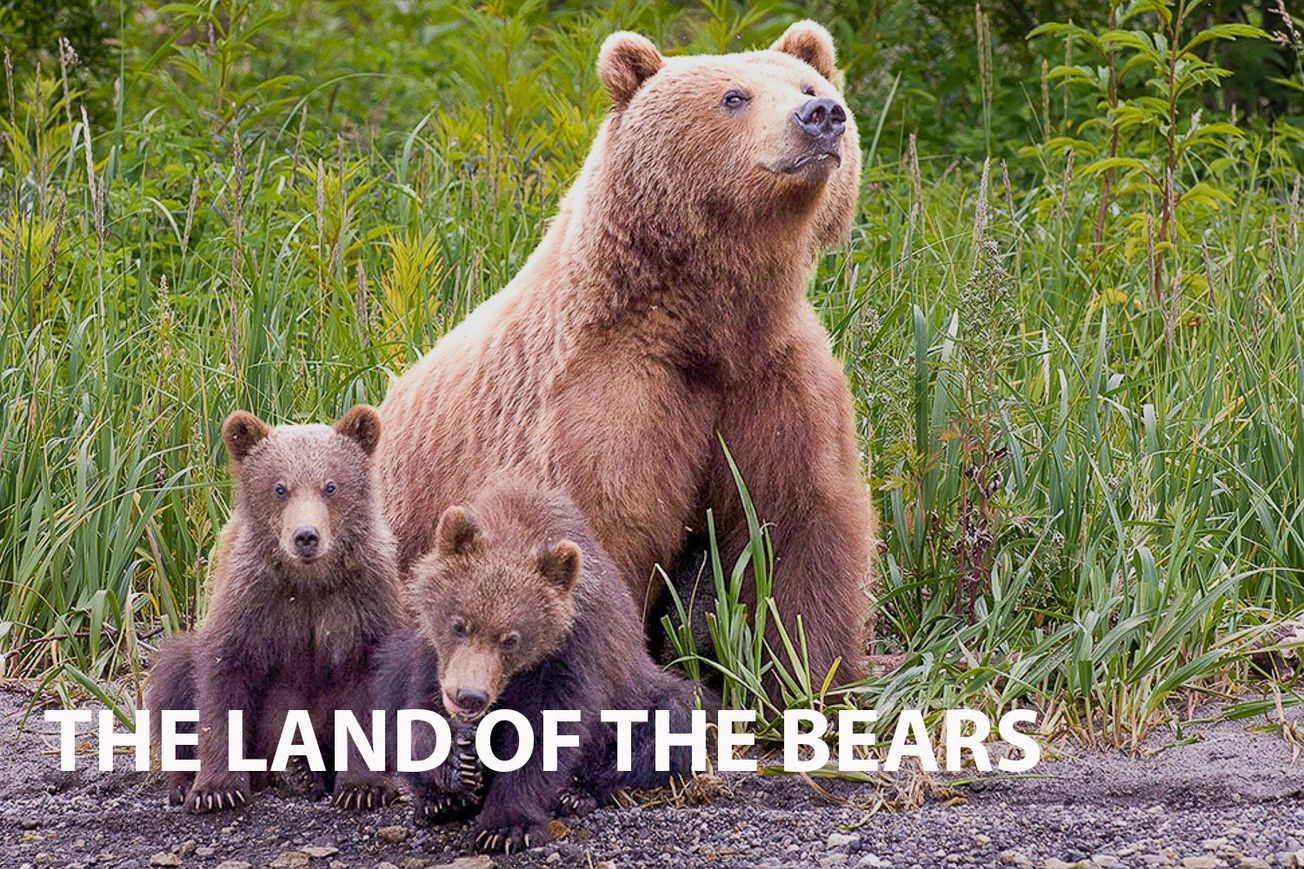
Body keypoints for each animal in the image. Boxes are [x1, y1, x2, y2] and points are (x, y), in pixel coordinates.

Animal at [144, 405, 403, 812]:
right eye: (280, 488)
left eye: (331, 486)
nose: (306, 536)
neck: (309, 583)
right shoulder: (252, 600)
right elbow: (221, 680)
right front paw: (215, 789)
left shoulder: (363, 601)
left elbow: (367, 693)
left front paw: (364, 787)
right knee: (174, 677)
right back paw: (185, 782)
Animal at [373, 477, 702, 853]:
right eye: (459, 624)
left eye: (511, 639)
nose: (468, 696)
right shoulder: (430, 653)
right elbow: (419, 709)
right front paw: (457, 766)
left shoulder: (570, 654)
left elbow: (544, 733)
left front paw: (506, 826)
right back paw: (439, 802)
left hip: (640, 692)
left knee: (667, 723)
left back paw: (577, 793)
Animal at [375, 20, 877, 698]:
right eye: (734, 96)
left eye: (809, 86)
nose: (822, 117)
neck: (707, 320)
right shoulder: (606, 394)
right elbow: (603, 529)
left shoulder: (775, 377)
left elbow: (798, 524)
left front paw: (805, 678)